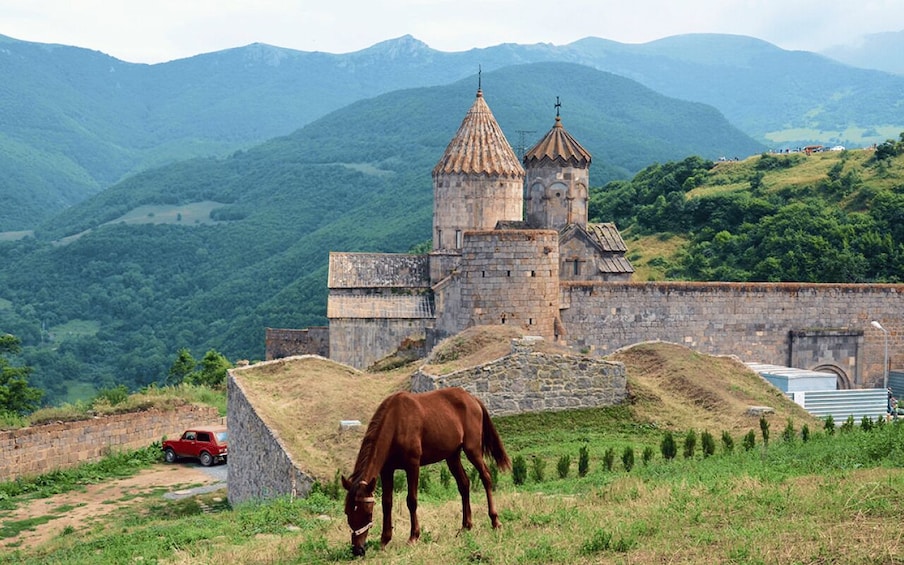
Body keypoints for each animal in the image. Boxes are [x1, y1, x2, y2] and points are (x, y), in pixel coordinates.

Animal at [340, 388, 508, 556]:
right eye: (347, 512)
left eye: (367, 513)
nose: (357, 549)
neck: (396, 421)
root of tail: (472, 399)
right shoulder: (387, 470)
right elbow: (387, 502)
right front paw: (384, 540)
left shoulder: (413, 465)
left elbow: (411, 500)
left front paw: (413, 536)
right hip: (452, 456)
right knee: (464, 484)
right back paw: (466, 526)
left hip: (473, 450)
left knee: (486, 477)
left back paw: (495, 521)